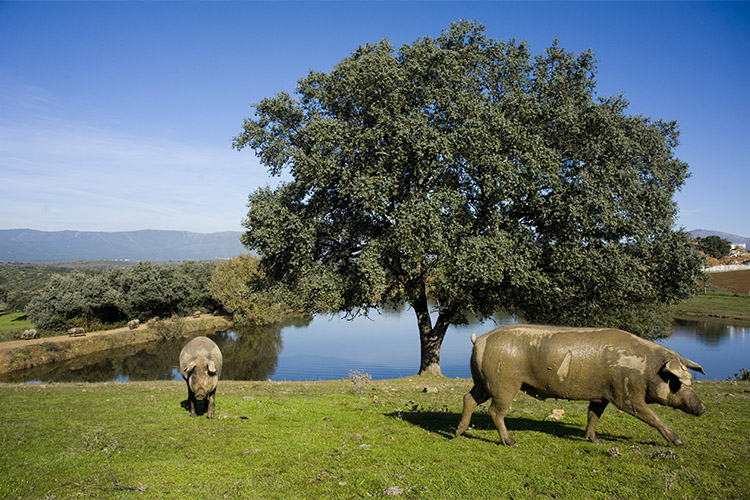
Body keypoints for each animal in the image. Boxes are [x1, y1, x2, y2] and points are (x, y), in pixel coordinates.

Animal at [456, 324, 708, 446]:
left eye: (691, 381)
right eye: (678, 382)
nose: (703, 408)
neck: (646, 369)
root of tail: (479, 341)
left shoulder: (601, 395)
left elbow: (593, 415)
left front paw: (595, 441)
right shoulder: (625, 395)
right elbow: (652, 416)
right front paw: (679, 443)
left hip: (484, 382)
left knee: (469, 399)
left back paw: (458, 432)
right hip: (505, 383)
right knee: (495, 411)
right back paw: (513, 443)